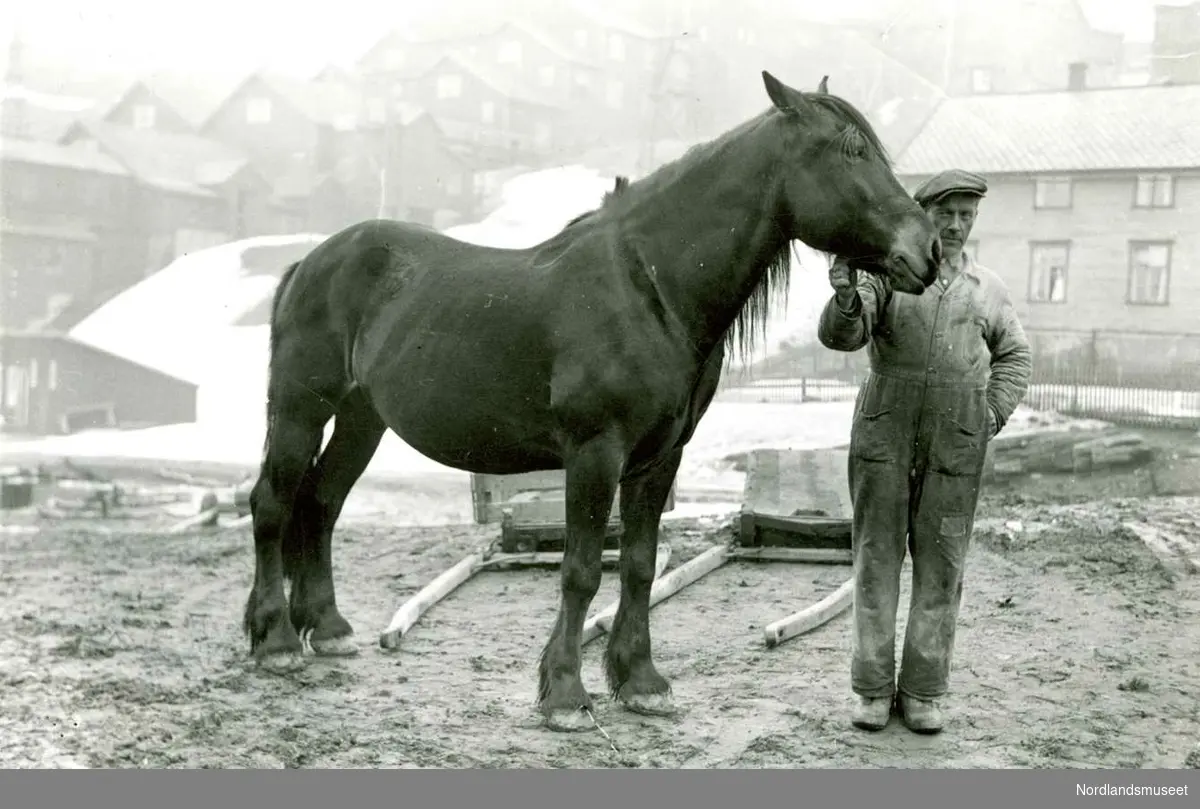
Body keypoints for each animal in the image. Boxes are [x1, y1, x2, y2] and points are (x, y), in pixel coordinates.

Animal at [238, 72, 940, 734]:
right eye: (851, 151)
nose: (928, 251)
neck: (649, 290)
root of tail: (310, 263)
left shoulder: (660, 458)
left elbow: (639, 565)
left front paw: (640, 681)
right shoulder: (595, 454)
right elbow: (580, 570)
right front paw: (565, 694)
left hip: (363, 420)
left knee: (321, 502)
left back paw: (327, 627)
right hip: (300, 410)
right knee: (273, 502)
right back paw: (276, 640)